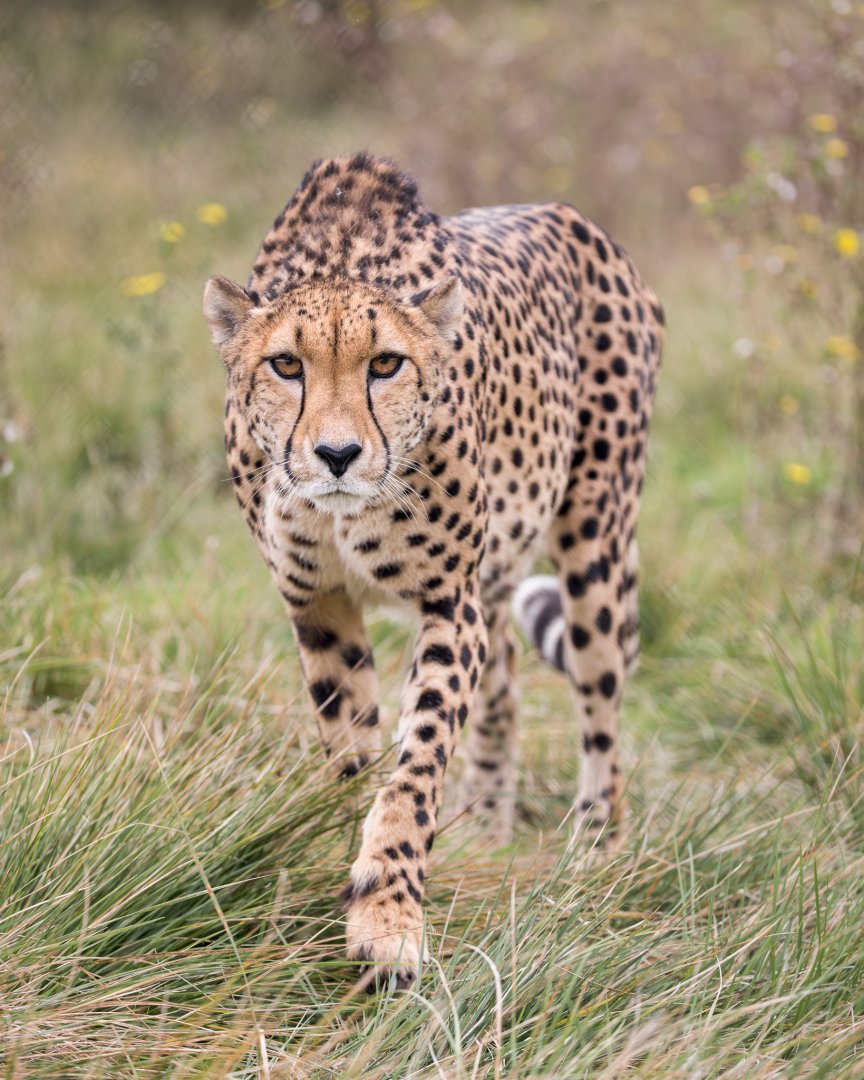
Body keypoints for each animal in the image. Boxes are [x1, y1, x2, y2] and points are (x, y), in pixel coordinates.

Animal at [203, 152, 664, 989]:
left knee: (602, 714)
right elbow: (352, 755)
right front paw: (339, 861)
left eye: (386, 364)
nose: (338, 455)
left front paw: (386, 917)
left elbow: (413, 769)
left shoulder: (448, 602)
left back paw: (595, 859)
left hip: (597, 540)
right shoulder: (319, 604)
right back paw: (487, 827)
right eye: (286, 365)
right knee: (506, 691)